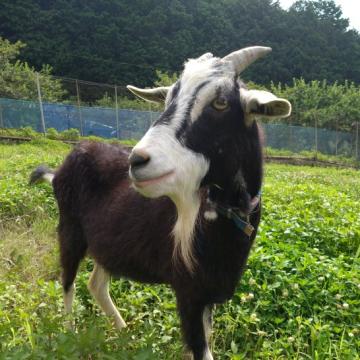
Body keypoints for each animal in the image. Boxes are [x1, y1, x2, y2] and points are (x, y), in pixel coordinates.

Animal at [29, 46, 292, 358]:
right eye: (167, 100)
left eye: (220, 102)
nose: (137, 160)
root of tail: (61, 168)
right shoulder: (188, 291)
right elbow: (201, 349)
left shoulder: (208, 294)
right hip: (70, 230)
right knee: (67, 281)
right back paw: (70, 334)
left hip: (106, 243)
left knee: (96, 284)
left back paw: (125, 333)